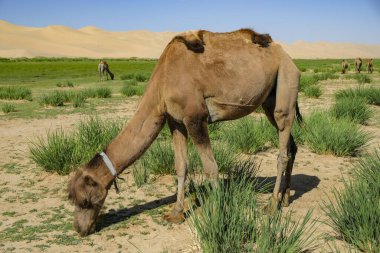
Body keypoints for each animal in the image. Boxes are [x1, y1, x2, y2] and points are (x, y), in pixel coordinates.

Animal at [67, 28, 302, 236]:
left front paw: (217, 212)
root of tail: (289, 58)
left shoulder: (195, 118)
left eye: (85, 201)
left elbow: (211, 168)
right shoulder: (175, 121)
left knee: (282, 147)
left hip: (286, 81)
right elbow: (181, 166)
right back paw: (286, 198)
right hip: (269, 100)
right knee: (291, 145)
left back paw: (272, 205)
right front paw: (176, 213)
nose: (80, 229)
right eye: (74, 200)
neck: (162, 83)